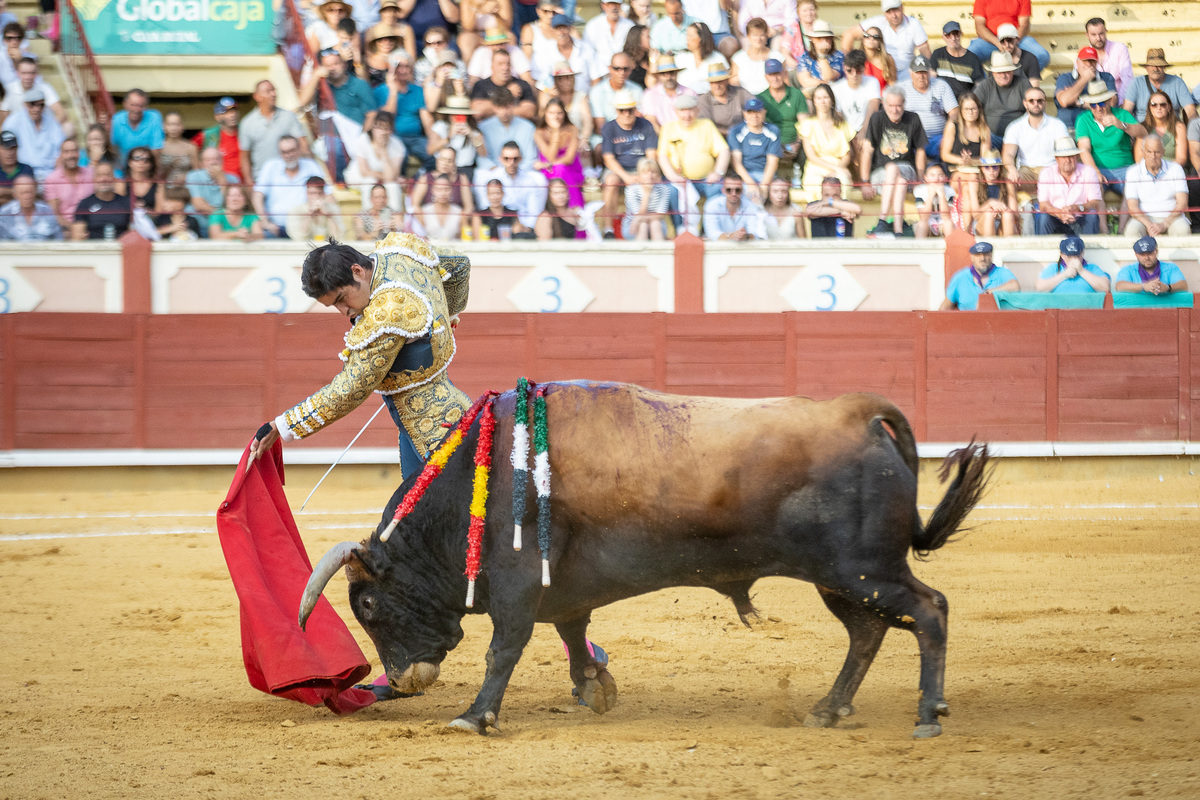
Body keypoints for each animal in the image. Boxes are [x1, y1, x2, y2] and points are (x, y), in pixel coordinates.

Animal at [295, 381, 988, 738]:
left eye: (368, 603)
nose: (402, 680)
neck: (481, 479)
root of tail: (860, 414)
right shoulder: (561, 586)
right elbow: (572, 630)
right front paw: (593, 688)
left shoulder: (517, 585)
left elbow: (504, 649)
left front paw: (474, 717)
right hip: (842, 580)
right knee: (868, 632)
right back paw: (827, 708)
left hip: (862, 570)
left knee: (929, 610)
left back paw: (928, 715)